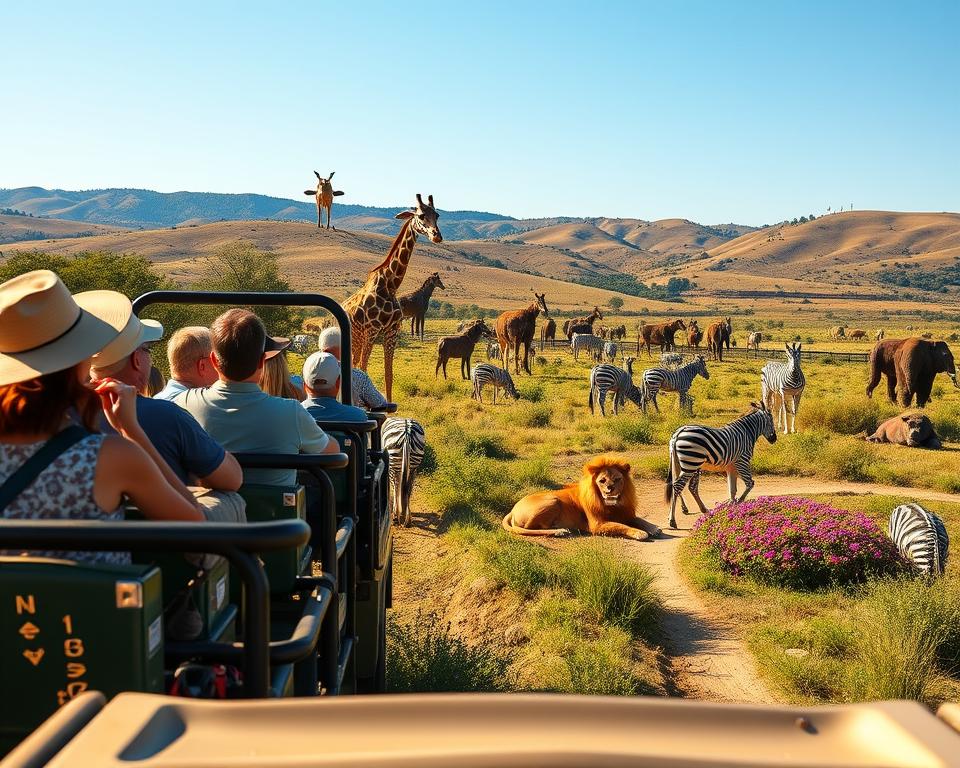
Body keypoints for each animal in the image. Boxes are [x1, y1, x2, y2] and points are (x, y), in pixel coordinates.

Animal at [342, 193, 443, 400]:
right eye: (421, 215)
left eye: (437, 215)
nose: (437, 236)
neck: (391, 285)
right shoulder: (372, 331)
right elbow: (364, 368)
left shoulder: (391, 332)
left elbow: (389, 374)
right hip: (355, 335)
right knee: (354, 364)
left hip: (358, 337)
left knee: (354, 363)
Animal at [502, 455, 661, 540]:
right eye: (602, 481)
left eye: (617, 479)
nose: (610, 489)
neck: (612, 505)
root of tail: (513, 509)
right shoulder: (597, 525)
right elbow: (622, 526)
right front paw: (639, 532)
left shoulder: (626, 513)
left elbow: (640, 520)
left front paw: (655, 528)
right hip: (553, 500)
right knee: (528, 527)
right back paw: (560, 530)